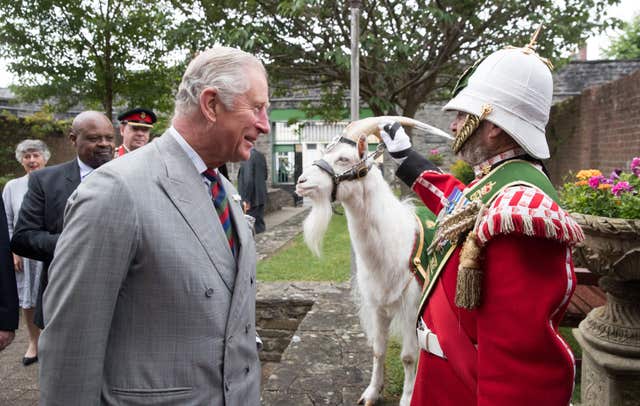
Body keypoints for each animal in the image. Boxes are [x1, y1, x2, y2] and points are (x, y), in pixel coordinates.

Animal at [296, 116, 442, 404]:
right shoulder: (377, 305)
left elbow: (408, 356)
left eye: (343, 158)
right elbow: (378, 349)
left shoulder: (411, 306)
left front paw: (408, 397)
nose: (301, 181)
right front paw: (371, 393)